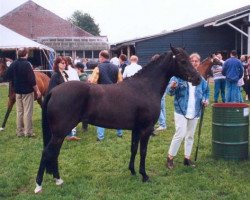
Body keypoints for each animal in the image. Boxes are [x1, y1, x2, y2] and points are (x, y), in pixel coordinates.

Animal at [34, 46, 201, 194]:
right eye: (183, 61)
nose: (198, 79)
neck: (145, 87)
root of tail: (54, 91)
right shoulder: (146, 129)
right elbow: (143, 151)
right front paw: (144, 175)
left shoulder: (136, 129)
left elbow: (134, 149)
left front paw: (132, 171)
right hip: (60, 133)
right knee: (47, 152)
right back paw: (39, 186)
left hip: (59, 134)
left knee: (54, 153)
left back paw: (58, 180)